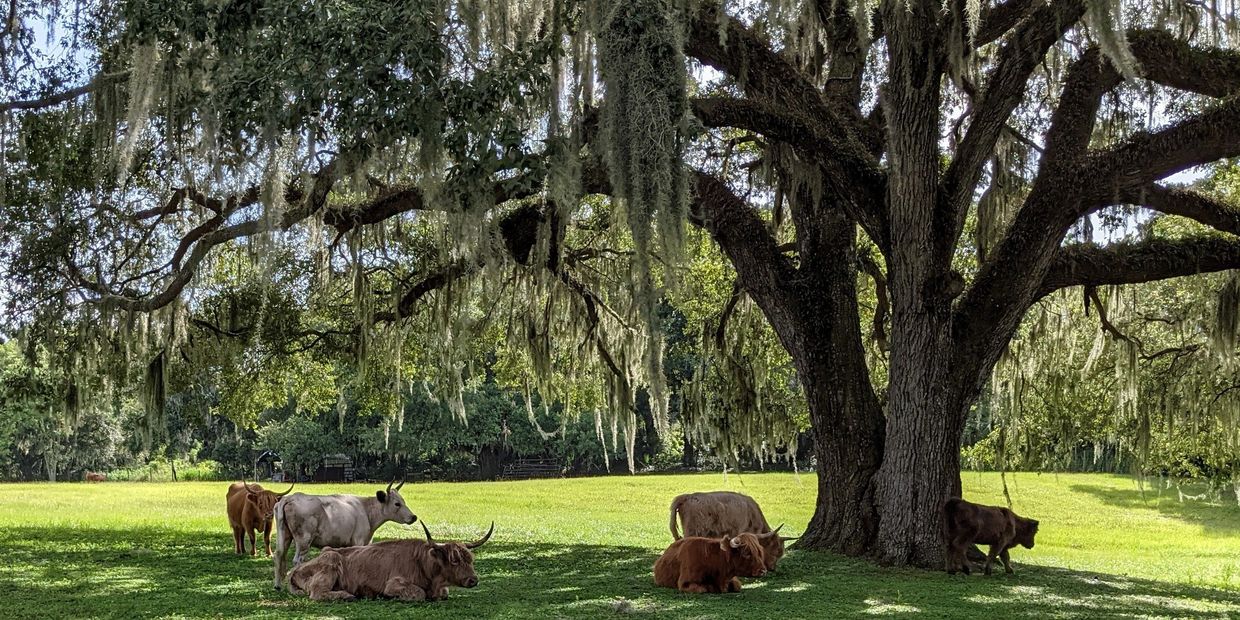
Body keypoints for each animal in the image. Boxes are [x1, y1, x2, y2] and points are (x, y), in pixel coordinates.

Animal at [287, 518, 496, 600]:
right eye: (454, 560)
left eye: (470, 560)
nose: (473, 580)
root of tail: (294, 570)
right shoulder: (394, 583)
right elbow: (418, 593)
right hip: (330, 561)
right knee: (318, 593)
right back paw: (348, 595)